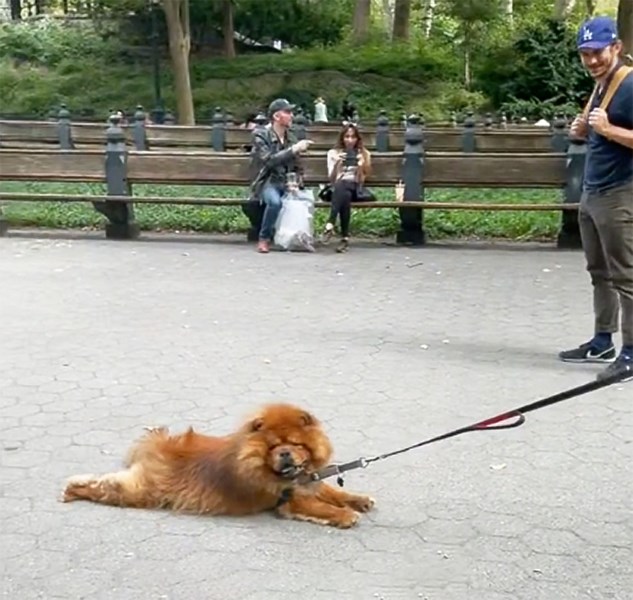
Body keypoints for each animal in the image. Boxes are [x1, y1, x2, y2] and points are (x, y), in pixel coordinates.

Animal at [61, 400, 372, 528]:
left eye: (295, 444)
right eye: (273, 446)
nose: (285, 453)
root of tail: (159, 443)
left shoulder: (308, 483)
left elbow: (334, 492)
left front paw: (360, 500)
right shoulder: (290, 500)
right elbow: (322, 507)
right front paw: (346, 516)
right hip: (145, 491)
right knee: (106, 487)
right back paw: (72, 489)